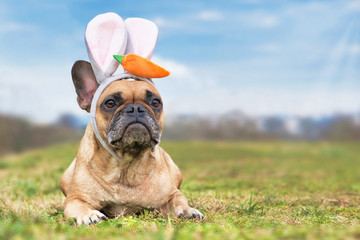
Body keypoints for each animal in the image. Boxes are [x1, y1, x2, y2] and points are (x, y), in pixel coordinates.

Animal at [60, 60, 204, 225]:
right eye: (110, 103)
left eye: (155, 102)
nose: (136, 108)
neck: (126, 164)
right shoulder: (76, 198)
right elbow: (78, 205)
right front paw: (89, 215)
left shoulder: (171, 194)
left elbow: (179, 199)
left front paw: (188, 210)